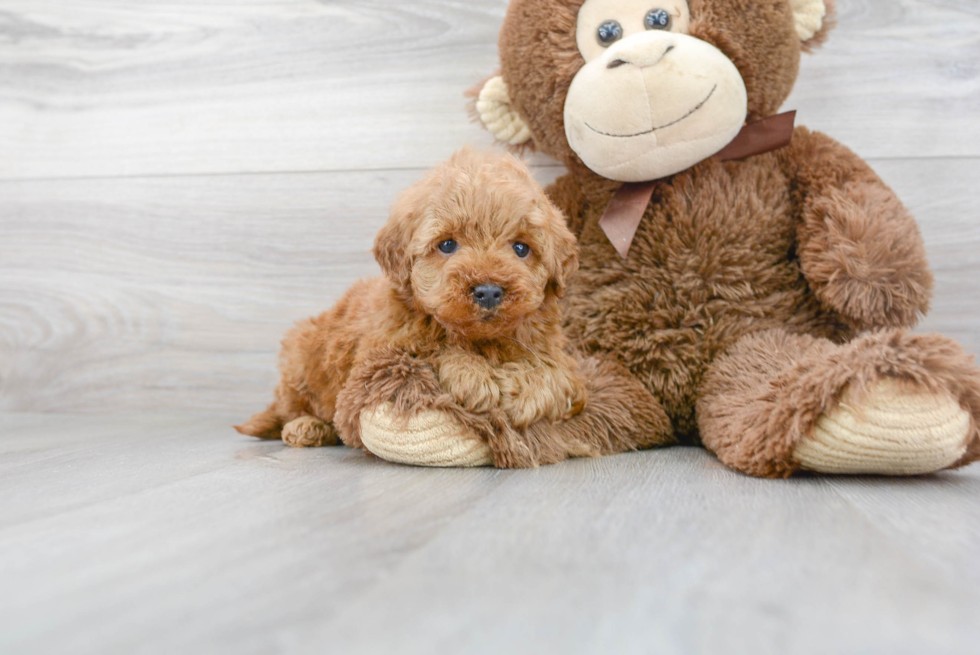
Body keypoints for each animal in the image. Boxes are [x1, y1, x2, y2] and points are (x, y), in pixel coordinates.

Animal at [237, 147, 588, 456]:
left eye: (521, 248)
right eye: (447, 245)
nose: (488, 291)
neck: (482, 341)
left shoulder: (560, 358)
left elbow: (555, 372)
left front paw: (525, 390)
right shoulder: (382, 350)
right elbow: (433, 349)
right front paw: (473, 374)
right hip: (300, 354)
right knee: (292, 406)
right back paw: (306, 427)